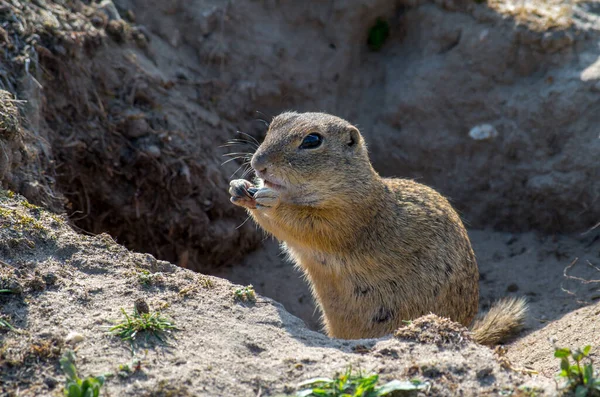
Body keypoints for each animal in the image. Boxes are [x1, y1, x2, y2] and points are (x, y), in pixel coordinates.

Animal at [227, 111, 528, 344]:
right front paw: (239, 187)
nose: (258, 164)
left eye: (312, 140)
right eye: (274, 123)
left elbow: (306, 225)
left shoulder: (348, 219)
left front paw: (270, 199)